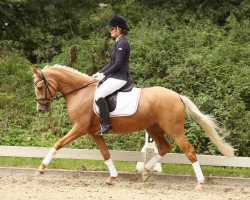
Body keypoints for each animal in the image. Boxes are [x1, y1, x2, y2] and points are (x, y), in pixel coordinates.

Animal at [31, 64, 234, 188]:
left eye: (40, 87)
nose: (40, 109)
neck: (80, 92)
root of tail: (177, 96)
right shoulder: (94, 132)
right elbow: (105, 153)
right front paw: (112, 177)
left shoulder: (79, 128)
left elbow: (58, 143)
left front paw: (41, 168)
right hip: (153, 128)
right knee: (165, 147)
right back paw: (145, 172)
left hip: (173, 129)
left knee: (189, 151)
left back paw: (200, 182)